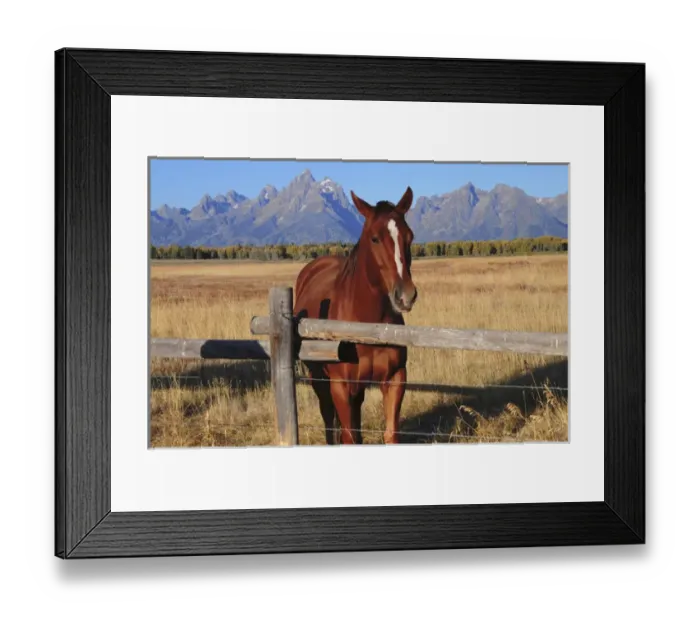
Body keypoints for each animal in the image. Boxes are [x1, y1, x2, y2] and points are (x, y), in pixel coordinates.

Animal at [293, 186, 418, 445]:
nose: (406, 295)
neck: (368, 326)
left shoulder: (395, 379)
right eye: (375, 238)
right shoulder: (340, 386)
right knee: (329, 418)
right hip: (319, 378)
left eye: (409, 237)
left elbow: (390, 434)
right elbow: (349, 436)